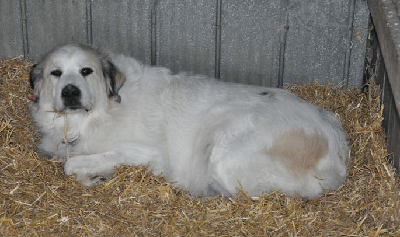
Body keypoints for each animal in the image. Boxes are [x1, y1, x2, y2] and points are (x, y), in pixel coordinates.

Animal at [30, 44, 350, 198]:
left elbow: (72, 164)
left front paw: (92, 174)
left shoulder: (146, 153)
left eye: (87, 71)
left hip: (222, 151)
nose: (70, 91)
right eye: (56, 73)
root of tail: (336, 145)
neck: (103, 109)